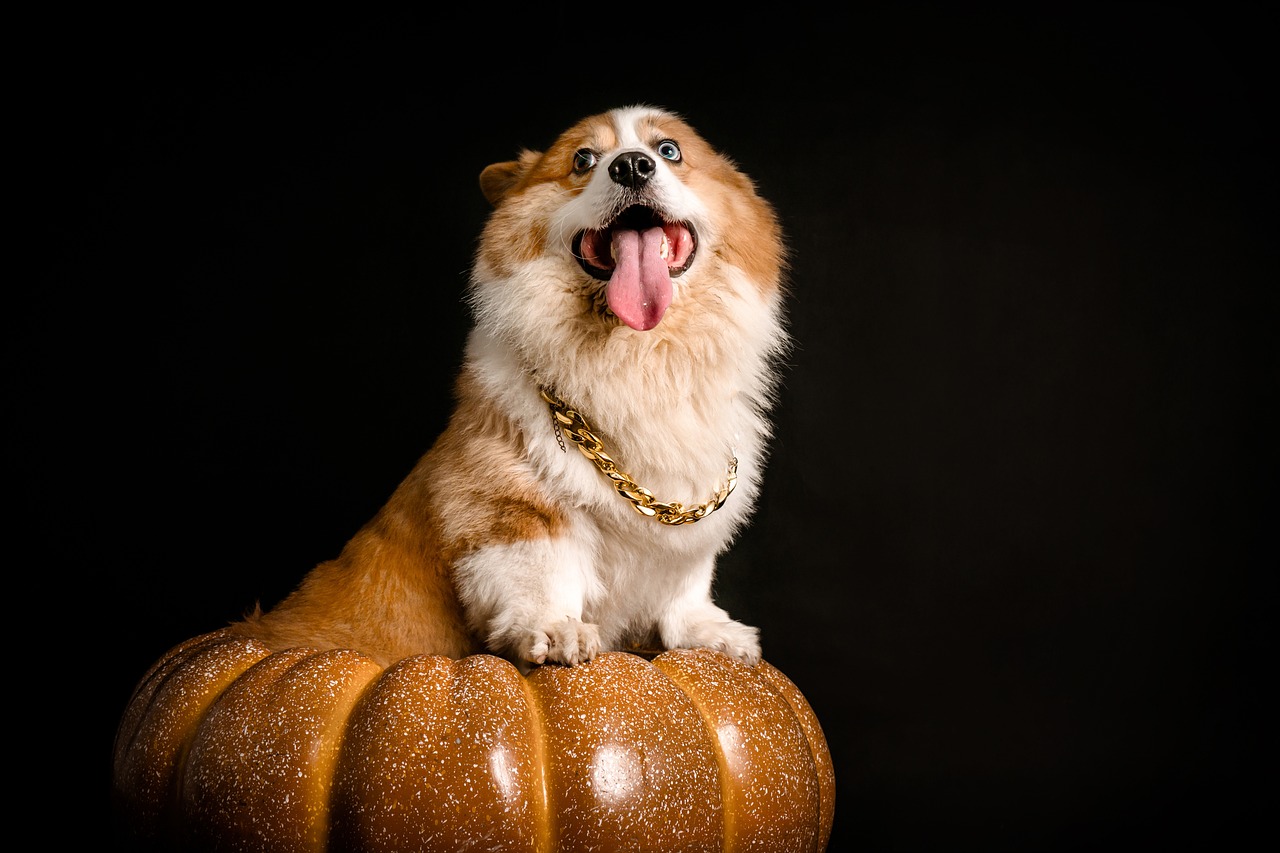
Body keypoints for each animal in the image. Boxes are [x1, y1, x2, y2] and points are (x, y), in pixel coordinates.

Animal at [230, 103, 788, 666]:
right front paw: (556, 629)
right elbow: (540, 567)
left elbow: (685, 575)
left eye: (670, 150)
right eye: (583, 159)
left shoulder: (693, 509)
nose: (632, 166)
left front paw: (708, 630)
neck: (640, 355)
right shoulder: (509, 498)